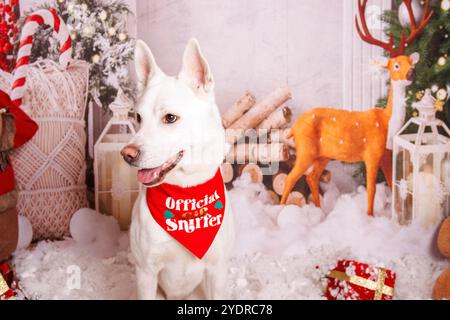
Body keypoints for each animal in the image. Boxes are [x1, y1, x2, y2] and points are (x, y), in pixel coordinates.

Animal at [123, 38, 236, 300]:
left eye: (170, 118)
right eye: (138, 117)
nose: (127, 154)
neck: (185, 191)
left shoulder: (217, 272)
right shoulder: (146, 273)